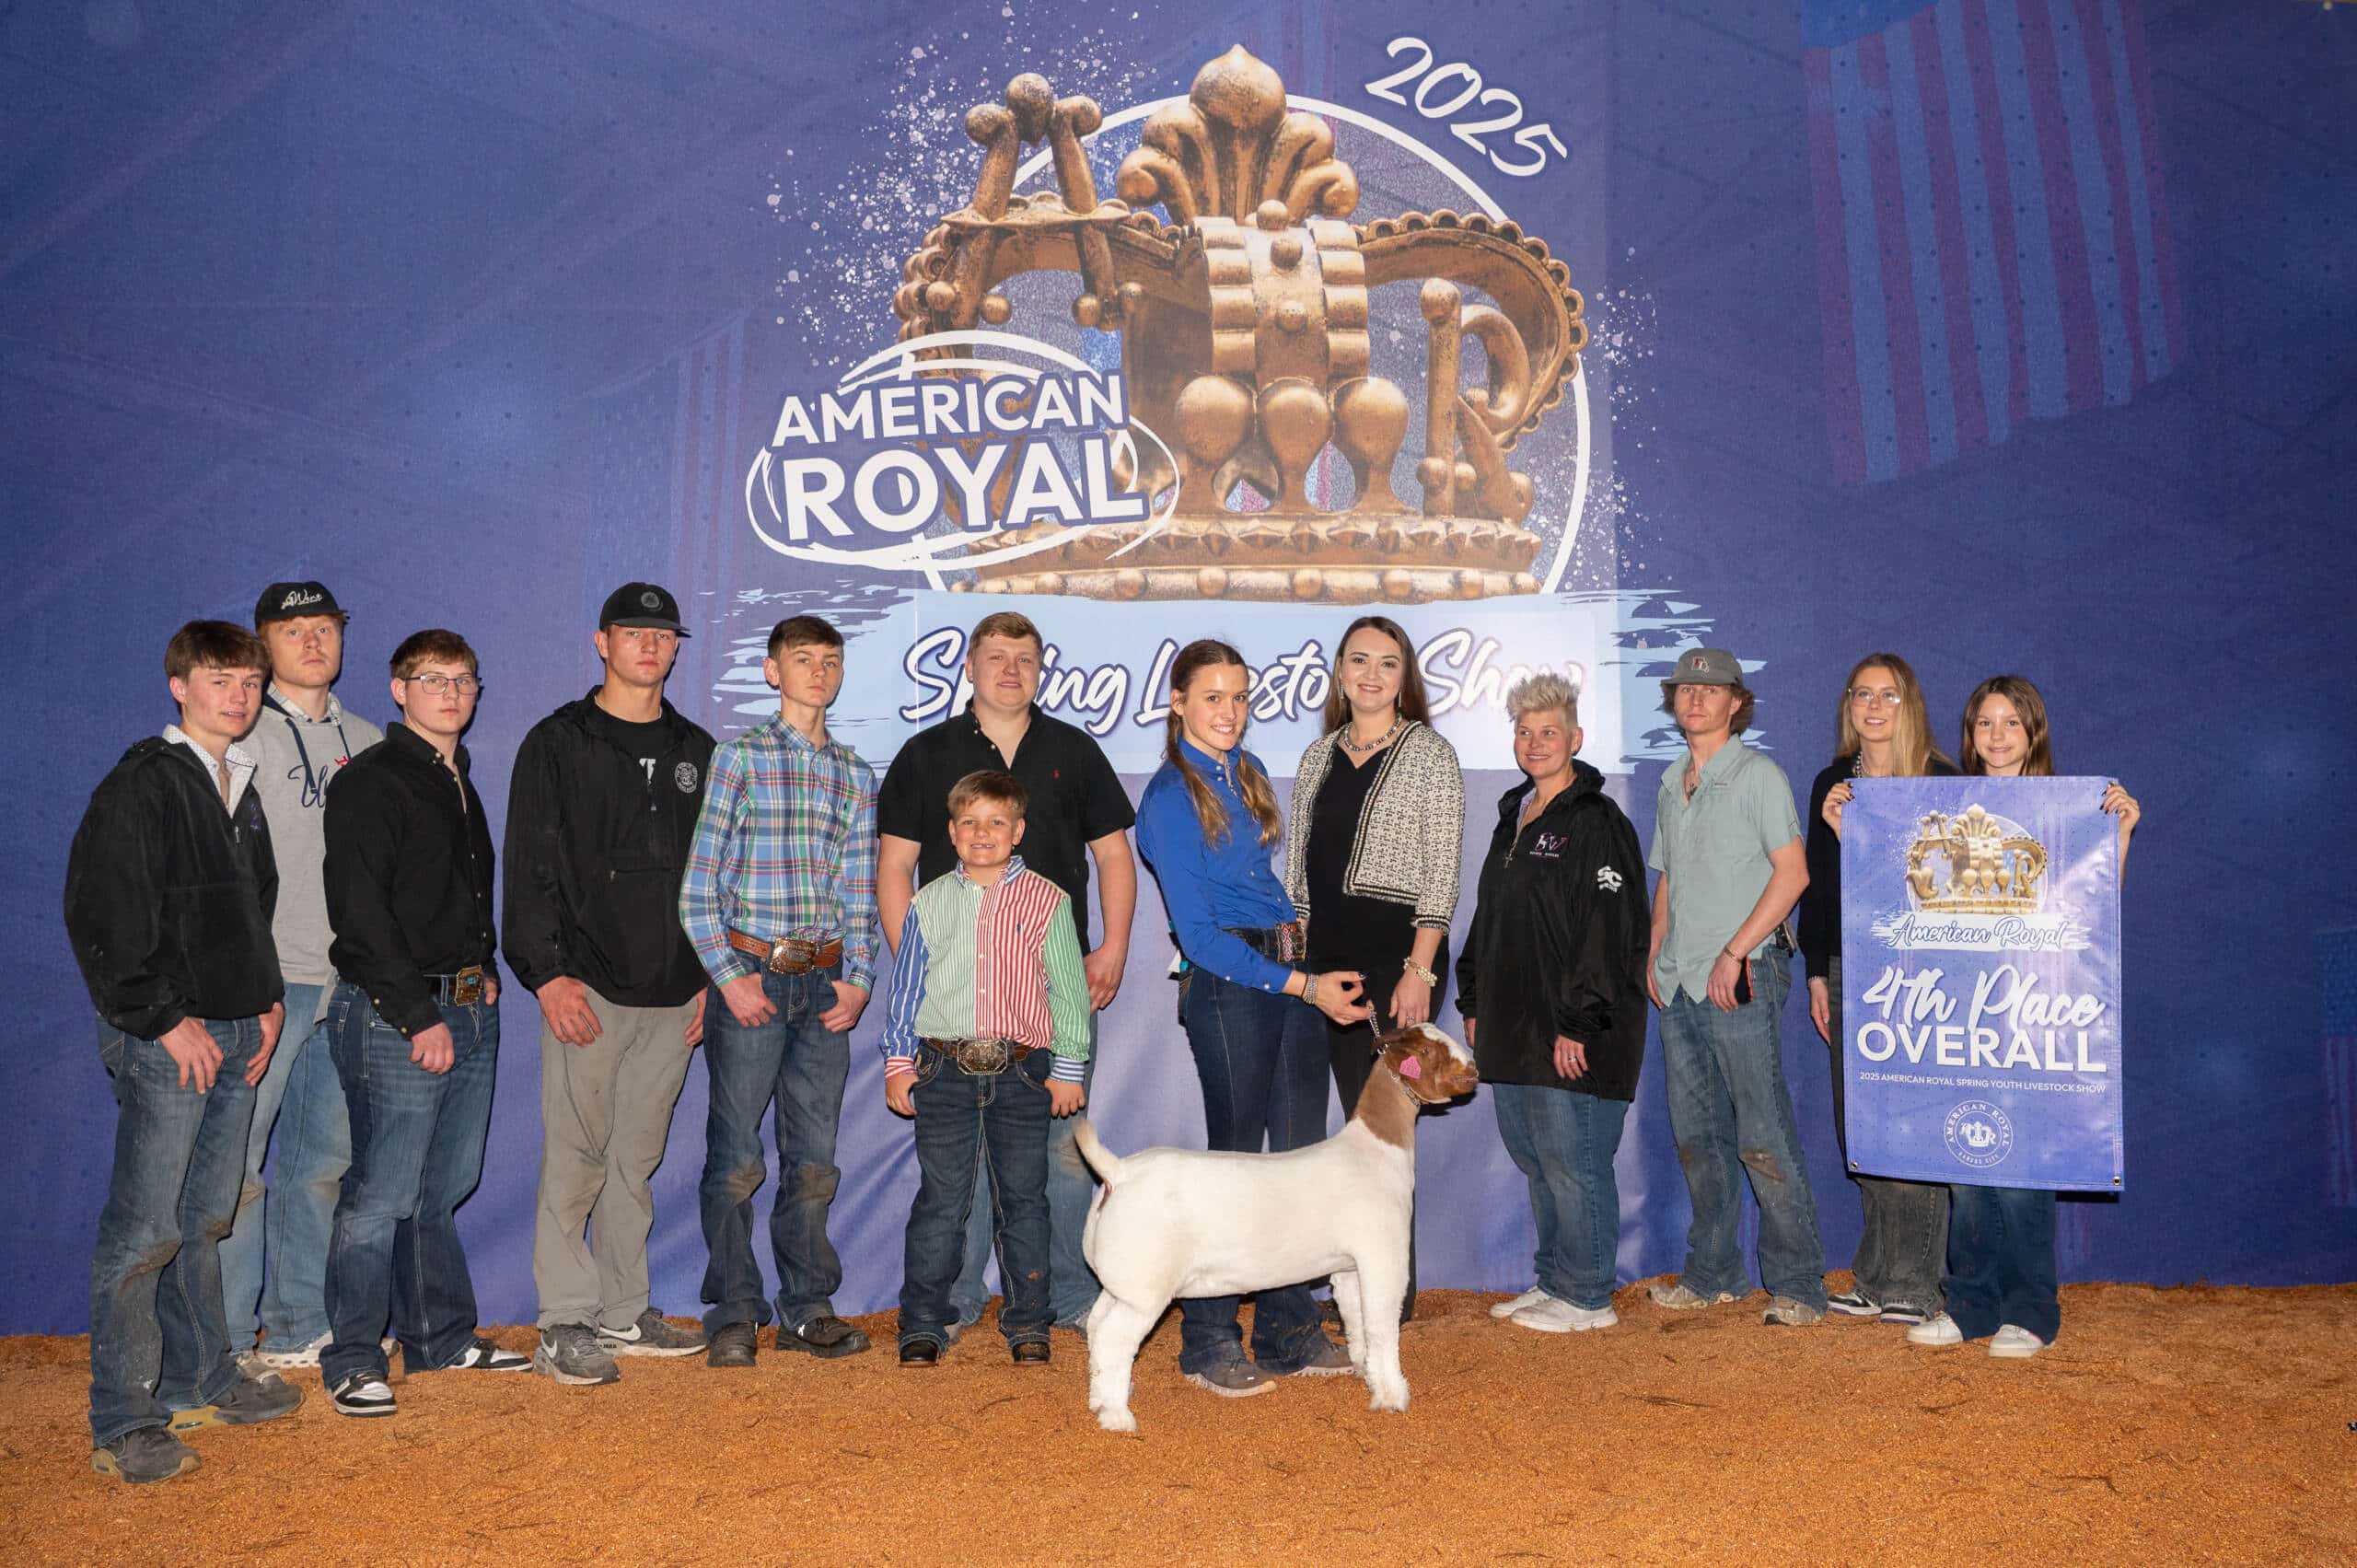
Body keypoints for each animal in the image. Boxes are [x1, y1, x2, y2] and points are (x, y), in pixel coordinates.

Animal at [1073, 1022, 1479, 1433]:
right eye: (1428, 1052)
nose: (1474, 1068)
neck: (1376, 1150)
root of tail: (1118, 1172)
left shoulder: (1350, 1268)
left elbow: (1356, 1320)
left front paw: (1368, 1374)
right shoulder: (1383, 1260)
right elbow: (1381, 1328)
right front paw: (1393, 1396)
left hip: (1123, 1282)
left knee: (1096, 1325)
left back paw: (1099, 1399)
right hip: (1147, 1289)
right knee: (1114, 1337)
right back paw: (1117, 1416)